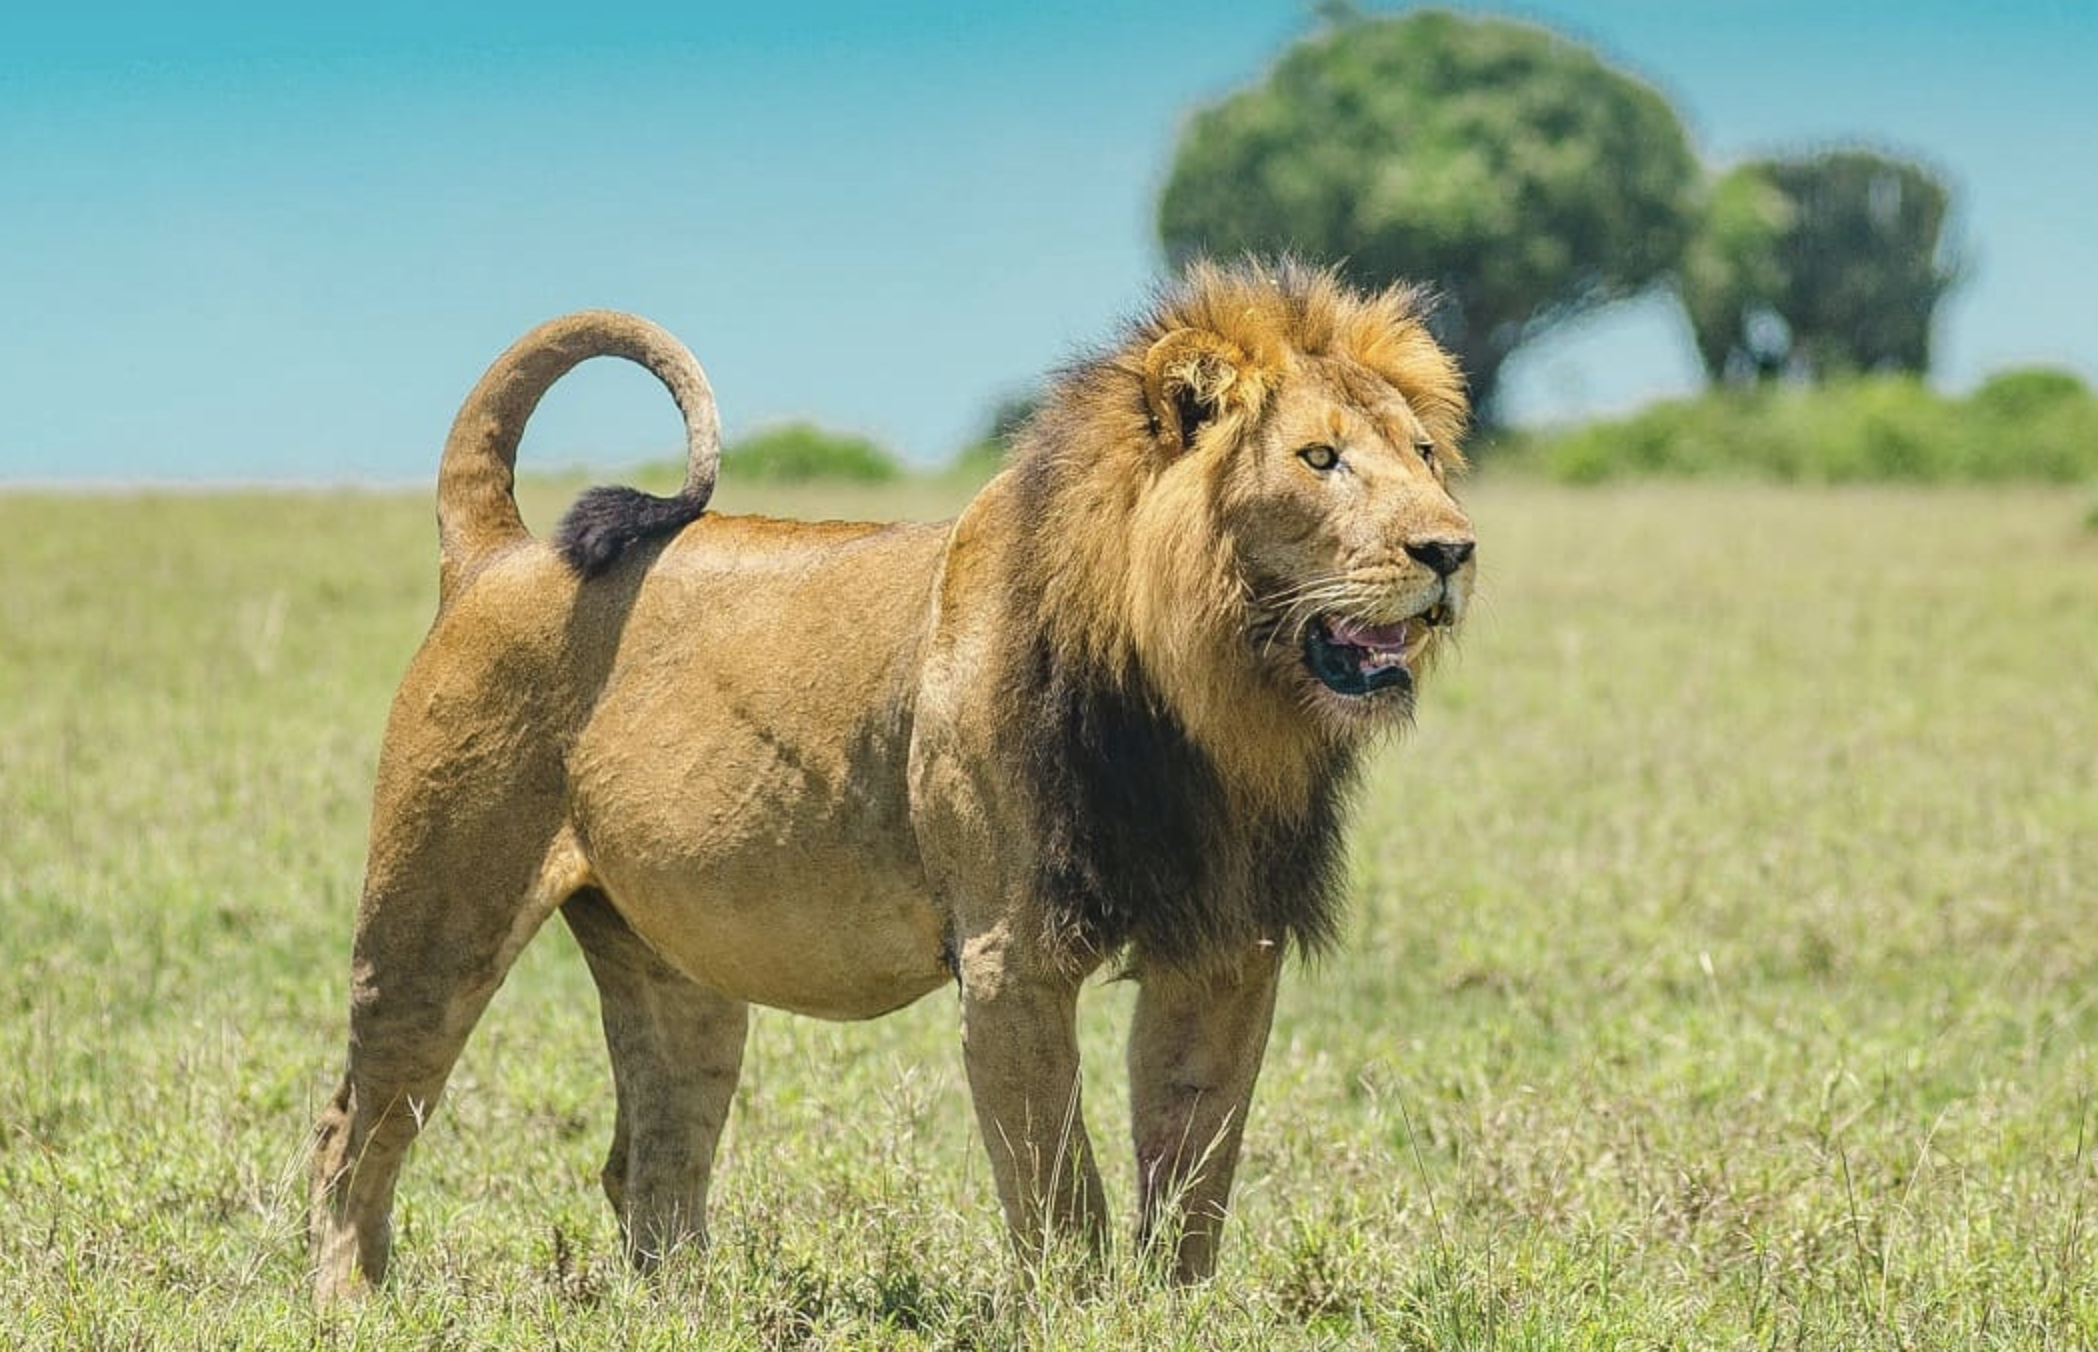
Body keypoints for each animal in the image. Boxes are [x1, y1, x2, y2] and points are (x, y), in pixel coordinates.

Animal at [308, 258, 1476, 1301]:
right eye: (1319, 458)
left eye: (1424, 453)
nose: (1452, 549)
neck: (1207, 702)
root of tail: (499, 553)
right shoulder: (1010, 956)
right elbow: (1060, 1188)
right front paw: (1078, 1313)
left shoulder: (1227, 945)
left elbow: (1193, 1166)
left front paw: (1177, 1313)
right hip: (434, 916)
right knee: (353, 1128)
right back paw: (350, 1299)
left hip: (673, 964)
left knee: (649, 1157)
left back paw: (690, 1308)